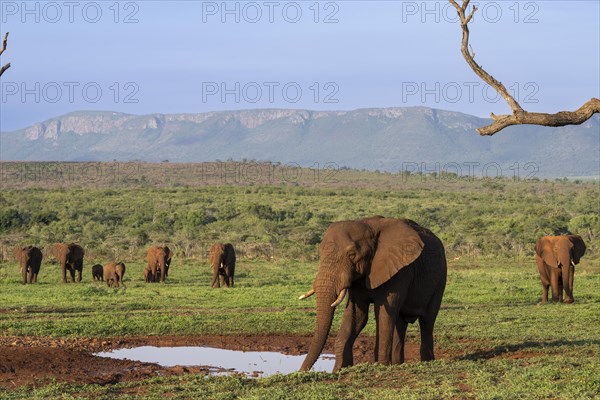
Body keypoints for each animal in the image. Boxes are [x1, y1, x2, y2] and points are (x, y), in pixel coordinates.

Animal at [298, 217, 446, 374]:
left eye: (352, 254)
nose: (299, 372)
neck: (368, 225)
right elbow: (357, 315)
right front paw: (340, 370)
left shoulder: (399, 271)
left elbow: (383, 315)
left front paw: (381, 367)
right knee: (400, 322)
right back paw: (398, 364)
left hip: (440, 279)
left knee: (427, 321)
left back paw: (427, 362)